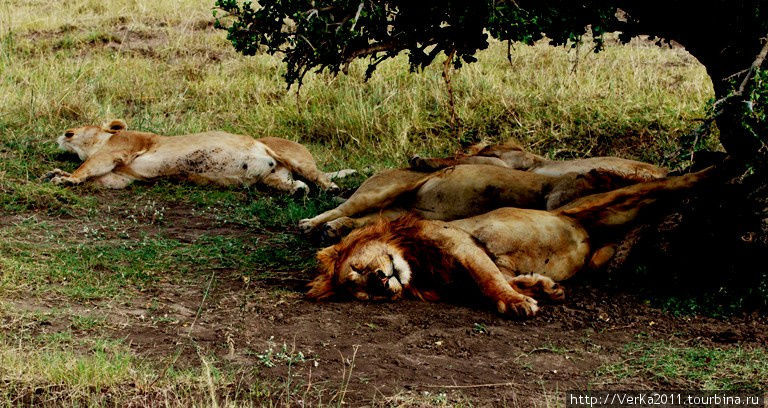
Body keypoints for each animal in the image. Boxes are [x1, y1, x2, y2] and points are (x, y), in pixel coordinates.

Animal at [304, 167, 712, 318]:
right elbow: (503, 277)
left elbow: (489, 281)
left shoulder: (462, 245)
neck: (418, 266)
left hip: (603, 203)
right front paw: (541, 288)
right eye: (361, 290)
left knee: (663, 186)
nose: (379, 280)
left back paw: (712, 170)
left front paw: (517, 303)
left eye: (359, 268)